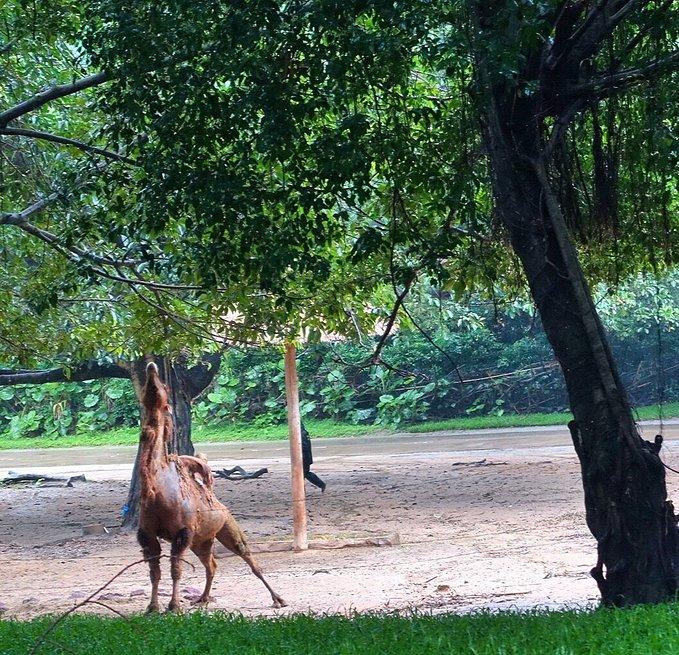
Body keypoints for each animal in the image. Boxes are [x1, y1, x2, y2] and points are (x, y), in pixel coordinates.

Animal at [137, 362, 286, 612]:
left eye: (163, 386)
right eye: (147, 390)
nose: (151, 366)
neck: (157, 491)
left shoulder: (182, 531)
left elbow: (175, 570)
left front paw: (174, 606)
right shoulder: (147, 534)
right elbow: (154, 572)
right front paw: (152, 608)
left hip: (226, 526)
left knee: (248, 557)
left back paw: (278, 599)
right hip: (202, 540)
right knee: (211, 564)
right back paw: (203, 598)